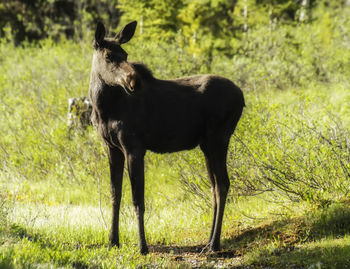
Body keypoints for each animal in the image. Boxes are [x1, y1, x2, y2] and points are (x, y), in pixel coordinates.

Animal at [89, 21, 245, 253]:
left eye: (125, 54)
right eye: (108, 55)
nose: (134, 81)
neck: (102, 109)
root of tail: (242, 97)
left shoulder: (134, 147)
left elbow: (137, 200)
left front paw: (142, 246)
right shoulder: (112, 148)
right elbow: (115, 195)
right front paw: (112, 241)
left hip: (219, 139)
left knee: (223, 184)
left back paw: (215, 244)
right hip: (207, 145)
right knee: (215, 186)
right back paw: (209, 241)